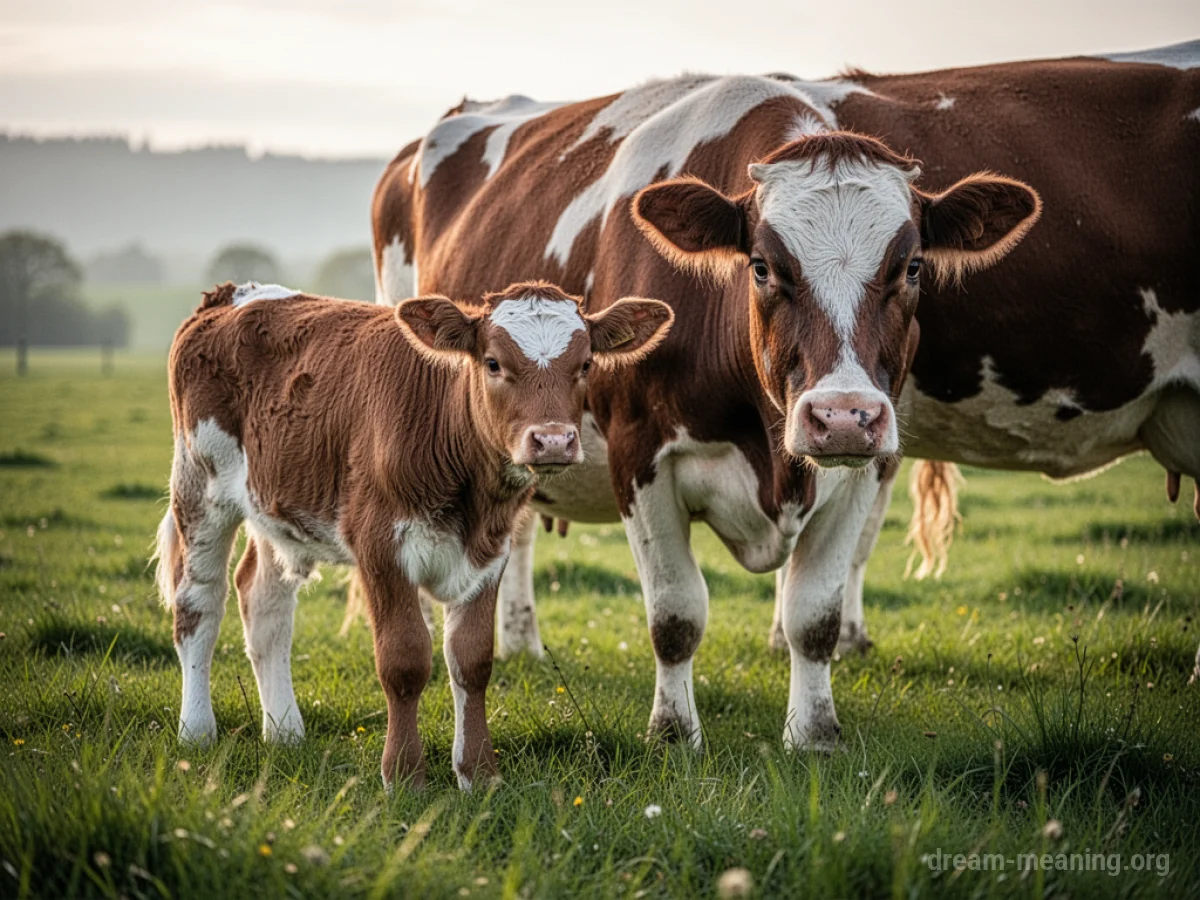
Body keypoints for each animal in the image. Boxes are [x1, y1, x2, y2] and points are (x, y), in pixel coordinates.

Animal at [153, 280, 673, 789]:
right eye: (493, 363)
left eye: (585, 364)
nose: (552, 440)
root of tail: (232, 294)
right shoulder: (381, 547)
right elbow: (404, 660)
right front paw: (403, 775)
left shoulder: (491, 552)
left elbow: (472, 661)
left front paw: (478, 774)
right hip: (199, 485)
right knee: (198, 605)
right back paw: (197, 731)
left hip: (276, 506)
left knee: (264, 602)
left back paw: (285, 733)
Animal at [371, 78, 1040, 750]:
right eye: (763, 267)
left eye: (911, 268)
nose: (842, 416)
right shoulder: (640, 458)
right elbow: (675, 615)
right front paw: (673, 731)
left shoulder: (864, 471)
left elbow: (814, 617)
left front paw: (813, 735)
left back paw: (520, 643)